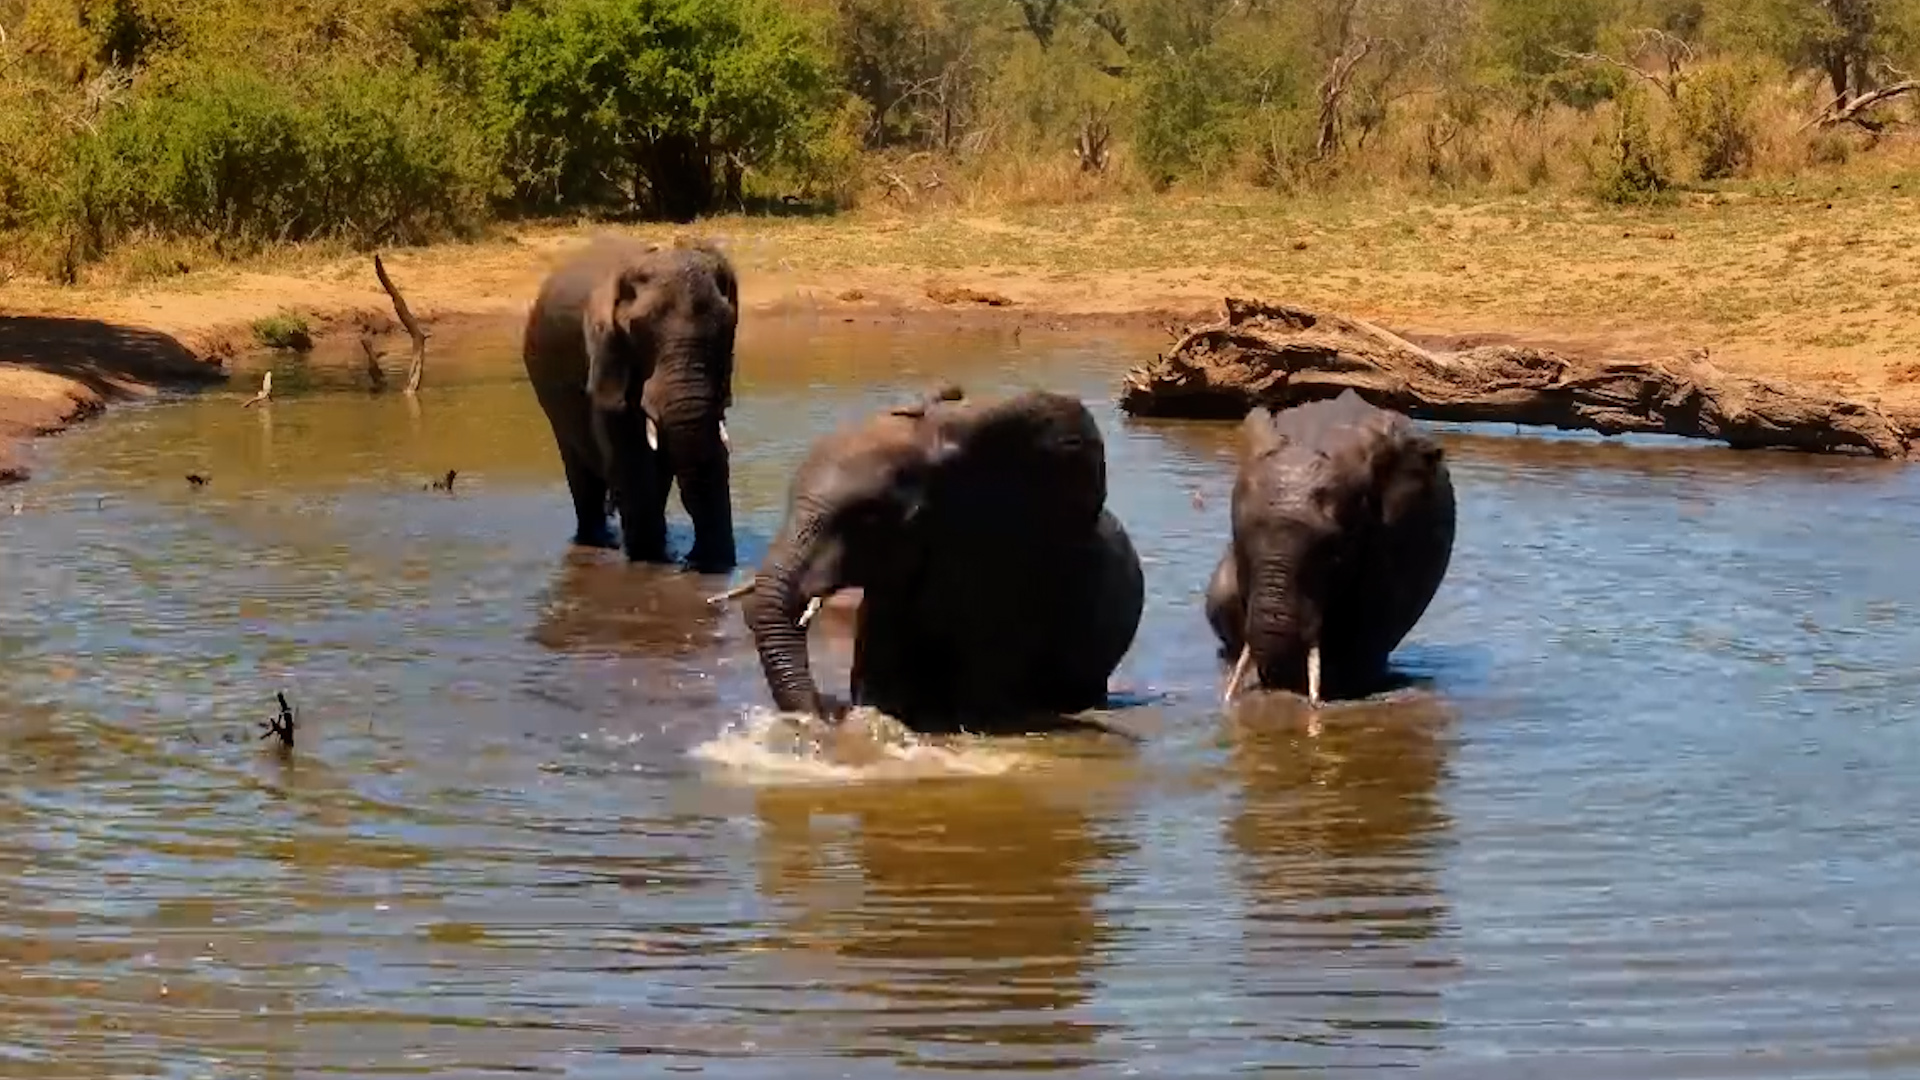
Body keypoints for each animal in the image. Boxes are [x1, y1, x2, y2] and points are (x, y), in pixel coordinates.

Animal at [521, 235, 740, 572]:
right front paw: (651, 561)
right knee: (580, 469)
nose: (692, 561)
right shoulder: (606, 354)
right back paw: (599, 541)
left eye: (727, 326)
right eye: (637, 329)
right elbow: (632, 458)